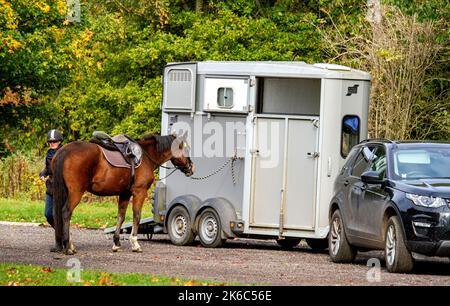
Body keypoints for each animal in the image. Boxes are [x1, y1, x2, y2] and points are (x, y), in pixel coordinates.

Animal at [51, 133, 195, 255]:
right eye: (185, 149)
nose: (191, 167)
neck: (146, 156)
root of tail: (64, 150)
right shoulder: (139, 192)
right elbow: (136, 216)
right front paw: (135, 244)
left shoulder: (125, 194)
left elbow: (121, 216)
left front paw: (116, 243)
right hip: (76, 192)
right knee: (66, 213)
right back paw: (68, 247)